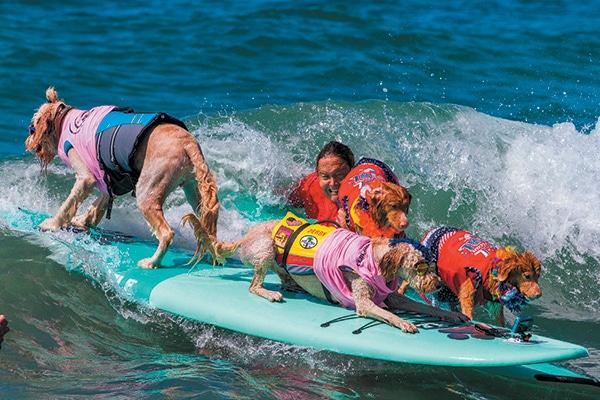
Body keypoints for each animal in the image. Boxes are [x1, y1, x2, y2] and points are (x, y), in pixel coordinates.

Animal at [25, 87, 219, 268]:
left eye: (32, 128)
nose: (28, 142)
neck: (64, 119)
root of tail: (188, 144)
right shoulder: (113, 178)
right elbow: (100, 202)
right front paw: (84, 220)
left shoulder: (86, 177)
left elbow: (67, 205)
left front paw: (52, 224)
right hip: (195, 193)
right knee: (208, 230)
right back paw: (214, 256)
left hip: (147, 192)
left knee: (166, 233)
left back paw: (152, 262)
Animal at [185, 212, 472, 334]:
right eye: (418, 266)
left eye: (432, 264)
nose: (438, 285)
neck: (373, 259)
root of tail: (246, 235)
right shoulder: (364, 303)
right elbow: (387, 313)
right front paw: (404, 322)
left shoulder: (392, 296)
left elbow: (425, 307)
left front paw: (452, 314)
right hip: (266, 248)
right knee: (254, 285)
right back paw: (270, 292)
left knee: (282, 274)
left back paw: (291, 284)